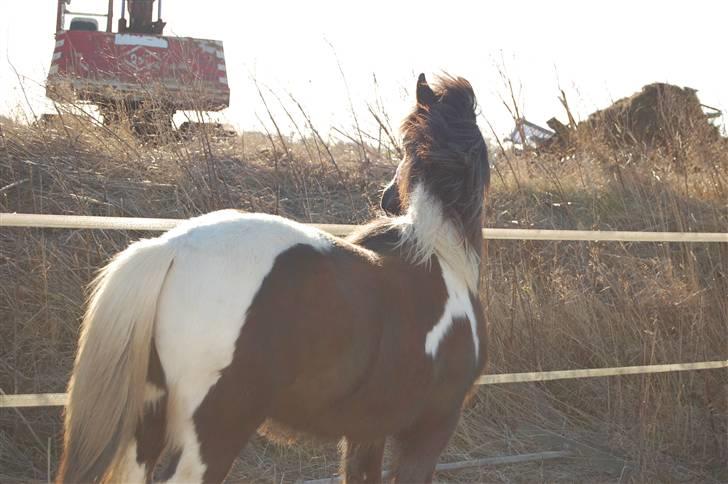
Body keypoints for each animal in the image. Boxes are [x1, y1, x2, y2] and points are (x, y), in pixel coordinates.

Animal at [57, 73, 490, 484]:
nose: (386, 198)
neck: (440, 257)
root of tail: (170, 248)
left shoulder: (367, 432)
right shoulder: (430, 428)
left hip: (148, 421)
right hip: (213, 429)